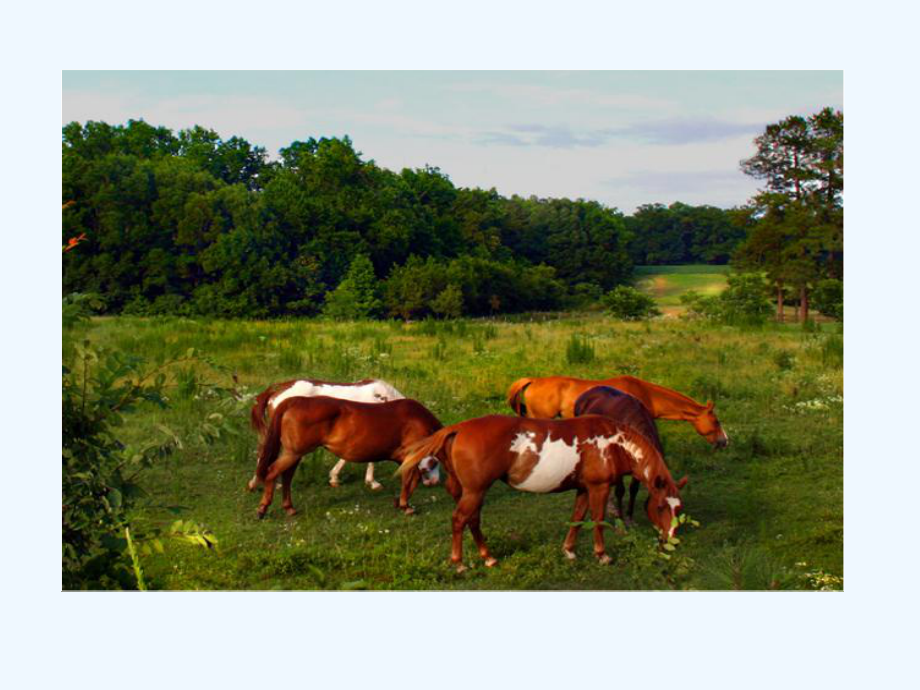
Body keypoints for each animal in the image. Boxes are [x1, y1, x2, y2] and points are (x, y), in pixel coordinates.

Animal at [250, 392, 440, 516]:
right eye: (435, 463)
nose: (434, 482)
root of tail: (294, 401)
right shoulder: (411, 456)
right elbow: (411, 479)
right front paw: (405, 506)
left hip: (294, 453)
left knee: (286, 476)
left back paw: (289, 507)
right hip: (293, 454)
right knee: (272, 472)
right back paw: (262, 508)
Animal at [398, 414, 688, 568]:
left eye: (679, 509)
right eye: (660, 507)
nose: (670, 539)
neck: (614, 443)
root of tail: (458, 428)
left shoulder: (584, 488)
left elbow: (577, 518)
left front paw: (569, 550)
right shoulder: (599, 488)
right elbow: (597, 521)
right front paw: (602, 554)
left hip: (470, 493)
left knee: (473, 521)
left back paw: (488, 557)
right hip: (474, 492)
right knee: (460, 520)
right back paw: (459, 562)